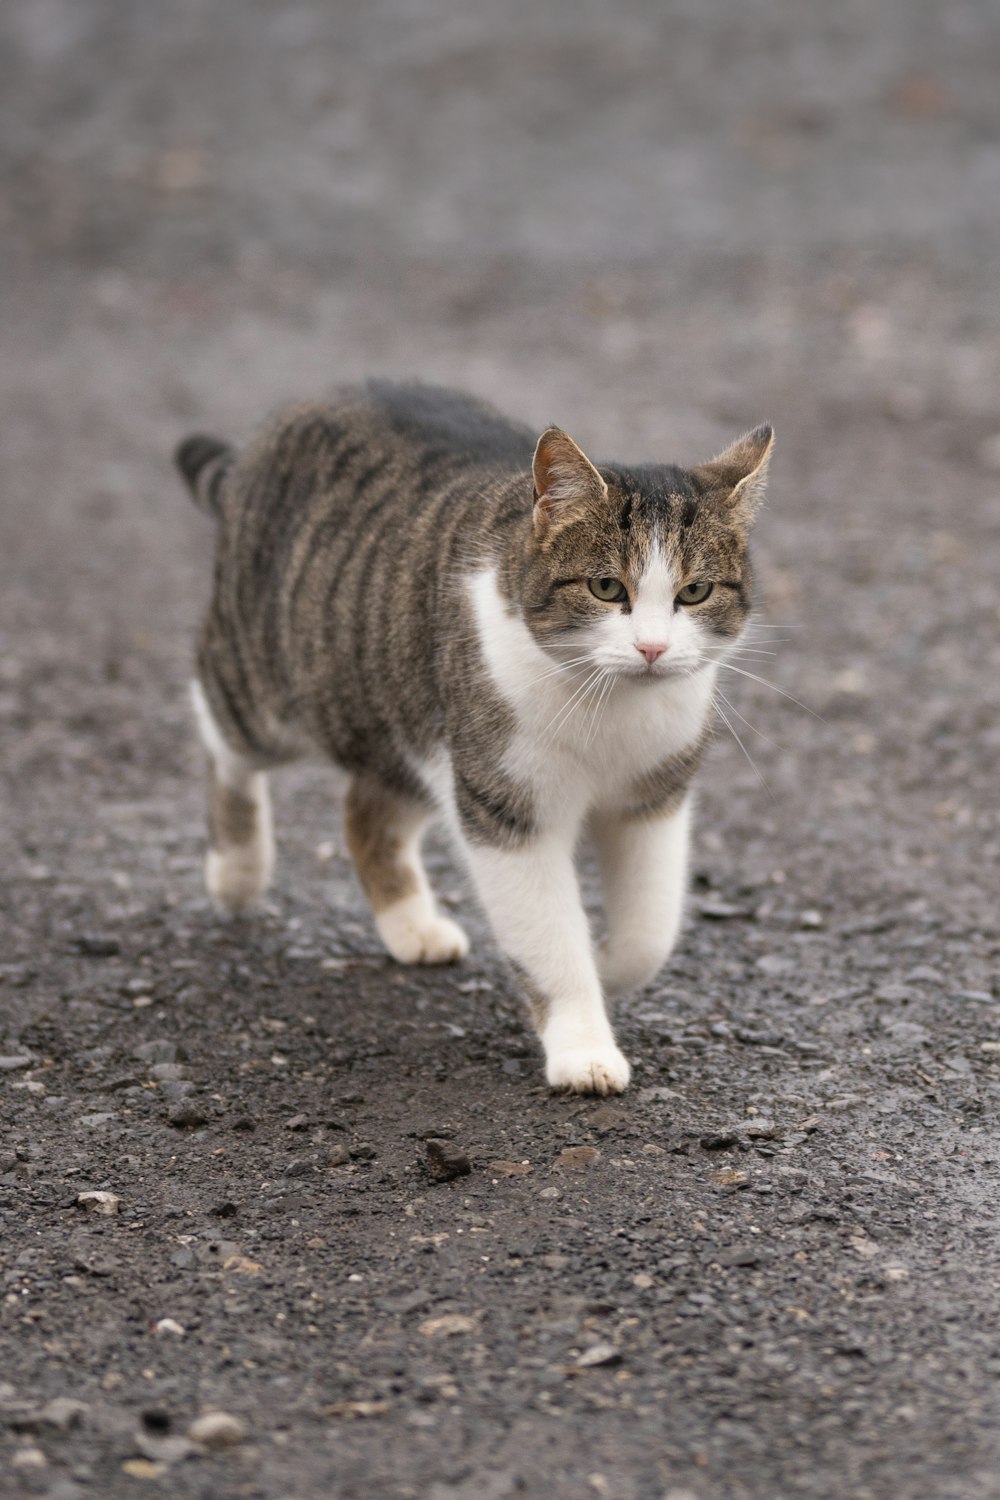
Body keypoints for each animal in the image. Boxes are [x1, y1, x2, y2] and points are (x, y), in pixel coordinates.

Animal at [176, 381, 773, 1098]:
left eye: (695, 591)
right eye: (607, 587)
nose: (653, 648)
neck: (612, 709)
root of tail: (286, 420)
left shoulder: (653, 801)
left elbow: (649, 932)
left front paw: (606, 960)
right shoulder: (507, 805)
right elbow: (550, 937)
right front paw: (583, 1046)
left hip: (415, 723)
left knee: (367, 810)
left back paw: (411, 926)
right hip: (272, 691)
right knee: (221, 732)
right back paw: (237, 868)